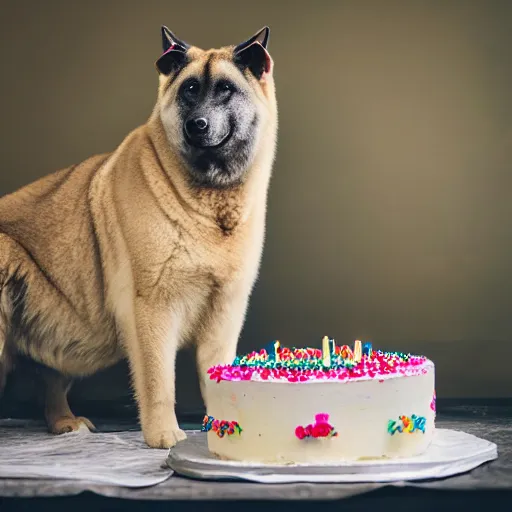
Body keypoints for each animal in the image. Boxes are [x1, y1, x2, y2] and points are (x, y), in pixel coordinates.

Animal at [0, 26, 276, 446]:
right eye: (189, 89)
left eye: (226, 88)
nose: (196, 124)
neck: (207, 202)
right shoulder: (153, 311)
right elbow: (158, 379)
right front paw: (164, 434)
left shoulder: (223, 316)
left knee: (51, 382)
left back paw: (65, 423)